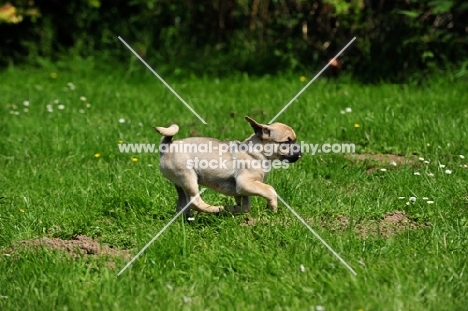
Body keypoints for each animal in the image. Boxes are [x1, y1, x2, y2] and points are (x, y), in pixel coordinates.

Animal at [154, 116, 300, 218]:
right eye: (287, 142)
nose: (300, 152)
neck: (256, 153)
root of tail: (167, 146)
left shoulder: (242, 191)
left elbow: (245, 206)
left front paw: (233, 209)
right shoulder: (246, 183)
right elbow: (270, 190)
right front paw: (272, 207)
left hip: (180, 184)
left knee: (183, 205)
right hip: (188, 178)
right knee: (196, 202)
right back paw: (216, 209)